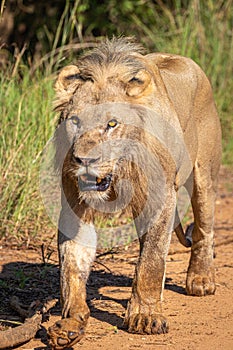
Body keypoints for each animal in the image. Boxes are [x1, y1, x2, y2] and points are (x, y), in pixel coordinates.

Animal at [46, 37, 220, 348]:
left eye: (112, 123)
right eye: (75, 121)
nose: (84, 160)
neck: (121, 170)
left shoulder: (161, 196)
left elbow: (152, 260)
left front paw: (145, 317)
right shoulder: (74, 204)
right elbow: (72, 263)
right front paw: (70, 322)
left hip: (205, 175)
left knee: (203, 229)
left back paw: (201, 279)